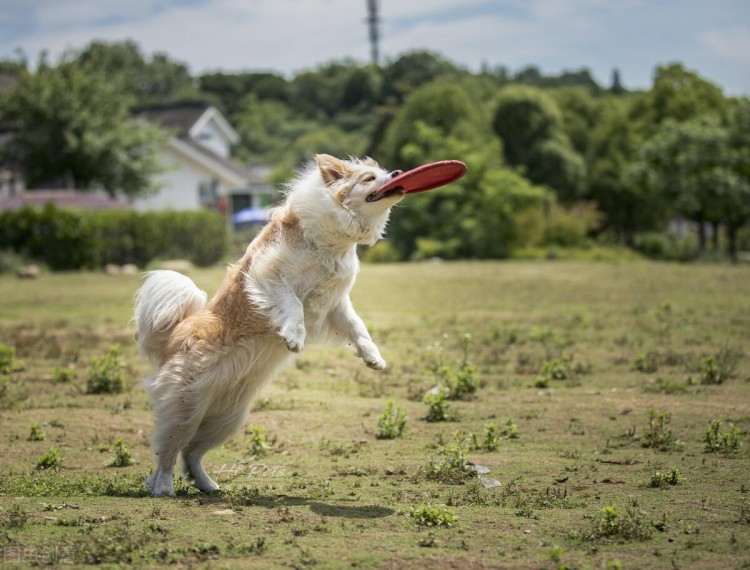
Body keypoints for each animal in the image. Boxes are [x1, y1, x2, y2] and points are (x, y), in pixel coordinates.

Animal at [134, 153, 406, 494]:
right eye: (370, 178)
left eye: (384, 172)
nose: (398, 172)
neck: (333, 241)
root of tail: (175, 334)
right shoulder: (269, 275)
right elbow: (293, 305)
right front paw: (294, 337)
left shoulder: (336, 304)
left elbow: (358, 328)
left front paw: (373, 358)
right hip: (184, 409)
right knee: (167, 452)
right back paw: (163, 488)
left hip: (227, 418)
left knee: (192, 453)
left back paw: (209, 486)